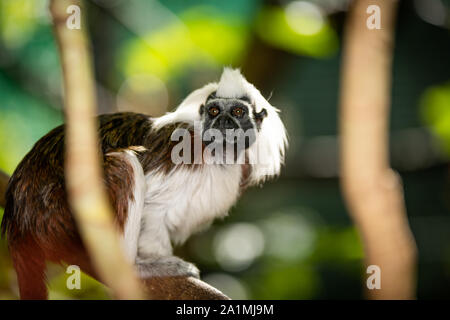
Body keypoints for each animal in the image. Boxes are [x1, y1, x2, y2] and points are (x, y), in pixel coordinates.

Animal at [0, 68, 288, 300]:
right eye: (214, 111)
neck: (219, 155)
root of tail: (20, 219)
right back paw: (133, 268)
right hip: (59, 216)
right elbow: (153, 206)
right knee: (123, 165)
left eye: (238, 112)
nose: (223, 122)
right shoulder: (182, 151)